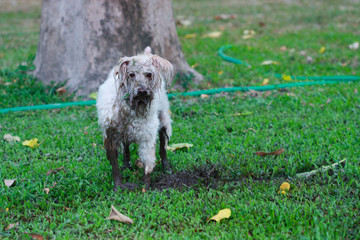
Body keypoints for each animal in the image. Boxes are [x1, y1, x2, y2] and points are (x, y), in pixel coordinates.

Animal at [97, 47, 173, 191]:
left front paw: (146, 188)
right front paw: (118, 187)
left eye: (148, 74)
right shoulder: (110, 136)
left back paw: (167, 168)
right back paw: (127, 166)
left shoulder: (147, 138)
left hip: (163, 120)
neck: (130, 108)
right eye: (131, 74)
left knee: (163, 146)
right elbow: (115, 165)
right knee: (126, 148)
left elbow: (148, 164)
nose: (142, 91)